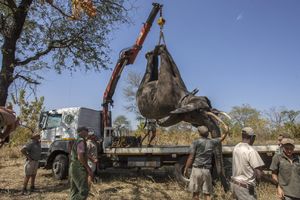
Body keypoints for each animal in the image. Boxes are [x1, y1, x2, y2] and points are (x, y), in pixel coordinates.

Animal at [137, 44, 231, 191]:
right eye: (200, 111)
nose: (226, 189)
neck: (184, 98)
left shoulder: (176, 112)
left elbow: (175, 69)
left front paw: (159, 48)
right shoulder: (167, 92)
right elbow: (166, 70)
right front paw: (160, 47)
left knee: (150, 74)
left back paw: (150, 54)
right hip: (142, 89)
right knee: (148, 75)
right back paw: (151, 53)